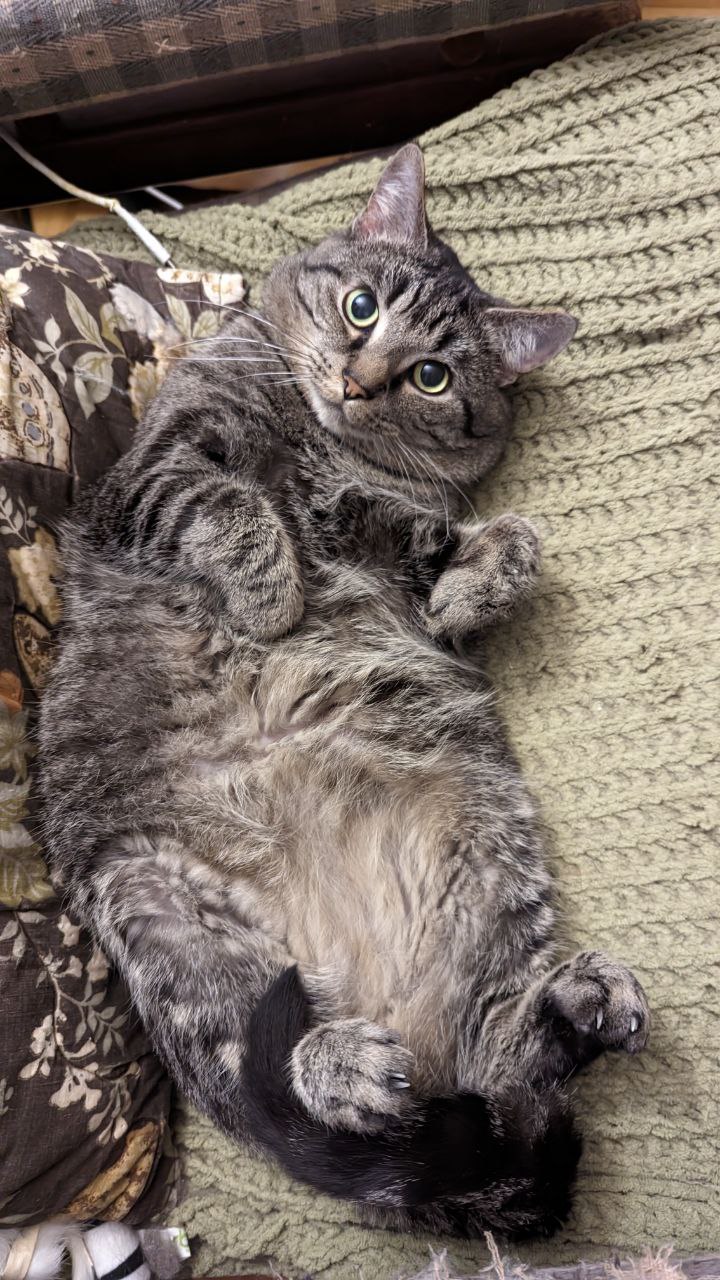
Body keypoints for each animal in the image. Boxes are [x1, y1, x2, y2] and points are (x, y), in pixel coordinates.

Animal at [39, 147, 648, 1239]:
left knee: (505, 1068)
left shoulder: (393, 531)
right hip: (168, 915)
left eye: (432, 375)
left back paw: (576, 1002)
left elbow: (465, 540)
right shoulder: (153, 472)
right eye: (362, 306)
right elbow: (231, 503)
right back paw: (340, 1060)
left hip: (489, 853)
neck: (316, 446)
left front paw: (476, 573)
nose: (358, 382)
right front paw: (271, 591)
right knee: (263, 1053)